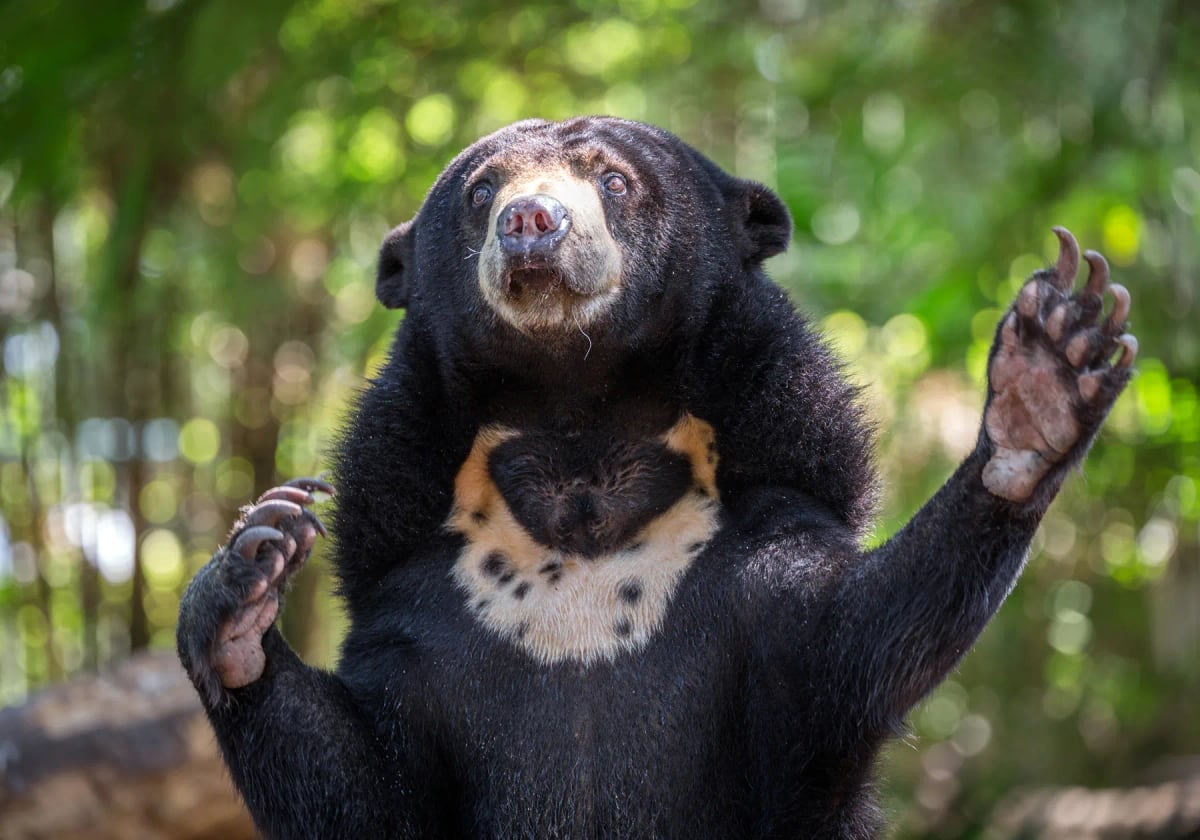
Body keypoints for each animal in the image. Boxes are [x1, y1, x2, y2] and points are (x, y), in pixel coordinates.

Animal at [176, 116, 1138, 839]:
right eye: (482, 193)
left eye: (613, 181)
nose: (532, 221)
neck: (581, 437)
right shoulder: (417, 599)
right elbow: (367, 789)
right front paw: (250, 569)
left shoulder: (762, 544)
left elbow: (856, 636)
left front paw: (1048, 375)